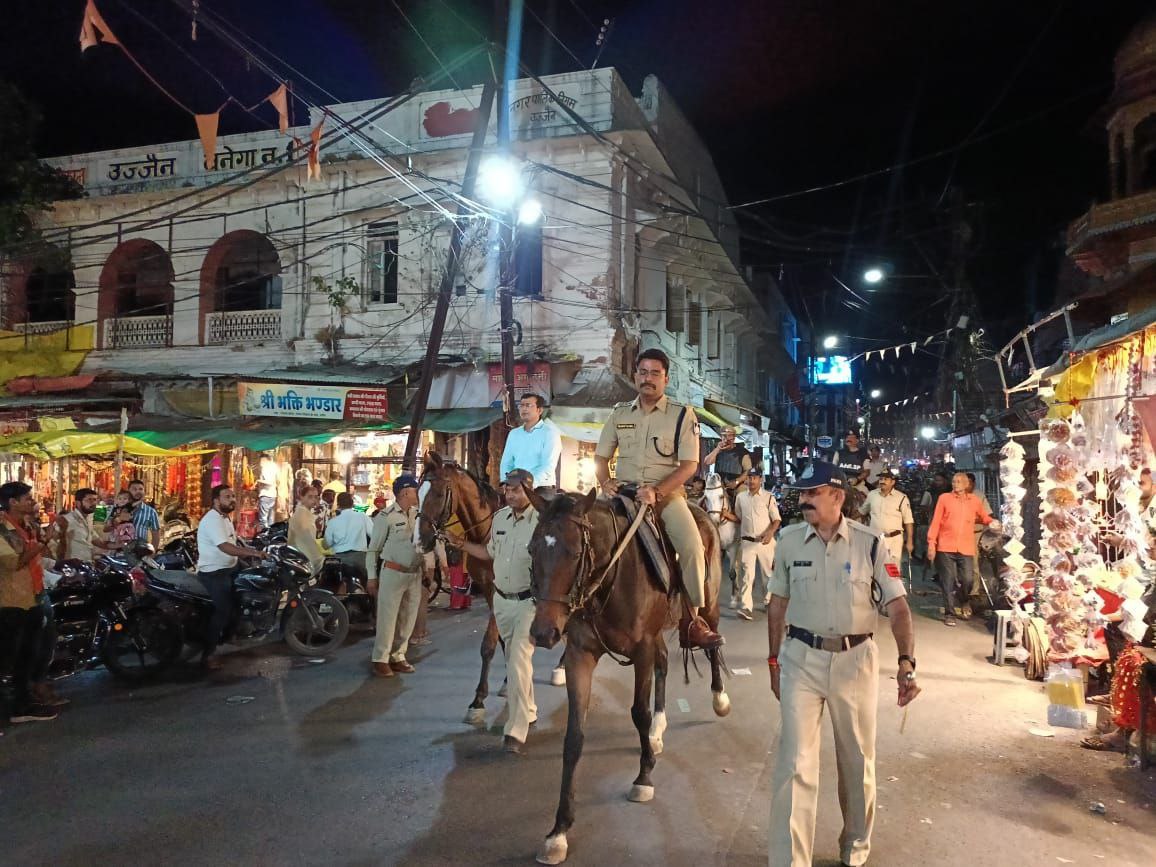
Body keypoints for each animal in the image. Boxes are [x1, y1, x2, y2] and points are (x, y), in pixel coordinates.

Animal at [418, 455, 504, 725]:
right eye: (418, 490)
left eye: (437, 493)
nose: (420, 540)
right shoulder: (488, 590)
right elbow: (501, 640)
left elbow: (489, 644)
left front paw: (478, 700)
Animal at [527, 492, 725, 864]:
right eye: (532, 549)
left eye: (573, 553)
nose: (544, 633)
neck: (607, 582)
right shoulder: (580, 655)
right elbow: (574, 737)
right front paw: (559, 830)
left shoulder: (642, 649)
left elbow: (638, 713)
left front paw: (644, 777)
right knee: (665, 663)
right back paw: (660, 729)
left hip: (709, 601)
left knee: (713, 643)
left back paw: (720, 698)